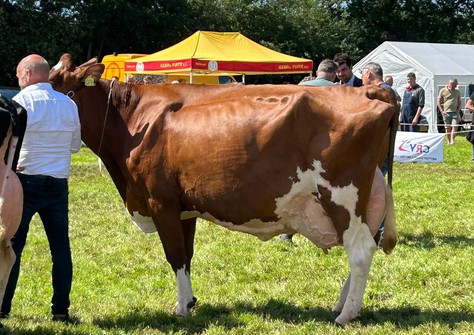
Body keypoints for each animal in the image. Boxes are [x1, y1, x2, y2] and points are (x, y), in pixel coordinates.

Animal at [49, 54, 396, 326]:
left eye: (59, 86)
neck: (135, 120)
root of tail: (370, 91)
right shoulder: (184, 207)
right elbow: (187, 255)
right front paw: (190, 302)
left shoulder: (160, 202)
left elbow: (175, 255)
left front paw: (181, 309)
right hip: (364, 200)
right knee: (365, 246)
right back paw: (342, 304)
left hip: (342, 196)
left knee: (360, 251)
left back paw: (346, 314)